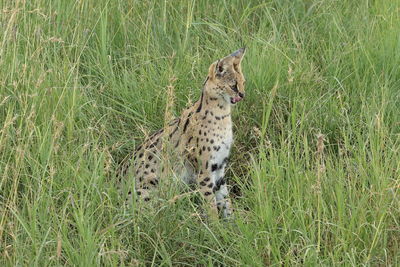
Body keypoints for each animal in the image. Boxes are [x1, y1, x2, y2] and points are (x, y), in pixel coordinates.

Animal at [120, 48, 247, 220]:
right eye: (233, 85)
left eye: (243, 82)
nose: (242, 94)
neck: (223, 114)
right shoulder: (204, 171)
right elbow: (211, 205)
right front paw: (216, 225)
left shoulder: (219, 167)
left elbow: (225, 200)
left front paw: (233, 223)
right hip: (150, 187)